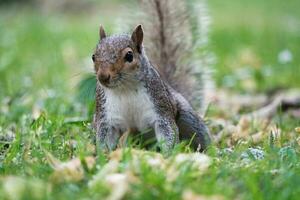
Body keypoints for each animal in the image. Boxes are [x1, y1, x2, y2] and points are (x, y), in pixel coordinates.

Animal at [92, 0, 212, 153]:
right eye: (93, 57)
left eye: (129, 56)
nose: (103, 77)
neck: (125, 88)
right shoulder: (106, 117)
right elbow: (105, 136)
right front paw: (103, 154)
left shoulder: (161, 109)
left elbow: (168, 131)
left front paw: (169, 154)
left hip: (188, 117)